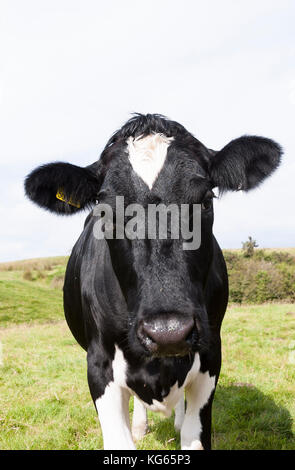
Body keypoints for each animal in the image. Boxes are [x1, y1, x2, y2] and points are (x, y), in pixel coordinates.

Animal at [23, 114, 282, 452]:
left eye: (205, 200)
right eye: (104, 209)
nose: (168, 332)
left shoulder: (211, 353)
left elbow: (193, 435)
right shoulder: (99, 364)